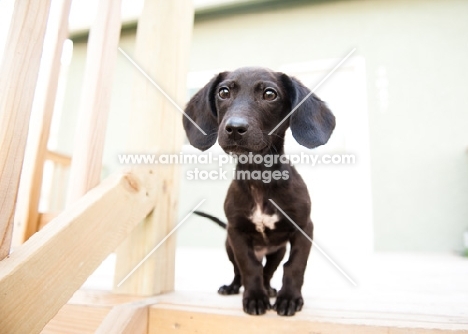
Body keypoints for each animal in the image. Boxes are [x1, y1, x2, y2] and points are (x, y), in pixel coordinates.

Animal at [181, 67, 334, 316]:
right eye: (223, 92)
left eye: (270, 94)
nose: (234, 128)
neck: (259, 179)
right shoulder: (237, 234)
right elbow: (249, 268)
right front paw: (254, 298)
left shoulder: (304, 228)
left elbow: (295, 266)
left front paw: (289, 298)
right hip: (229, 248)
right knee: (240, 271)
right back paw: (234, 287)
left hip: (276, 252)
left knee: (269, 271)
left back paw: (270, 289)